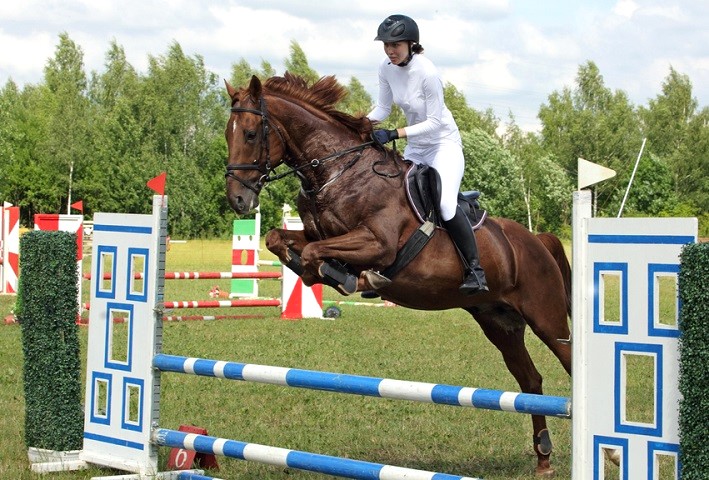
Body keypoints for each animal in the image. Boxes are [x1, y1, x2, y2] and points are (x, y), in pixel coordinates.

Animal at [224, 73, 572, 474]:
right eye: (227, 134)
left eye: (251, 134)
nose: (238, 200)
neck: (336, 173)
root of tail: (537, 240)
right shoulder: (317, 234)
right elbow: (278, 238)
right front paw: (324, 275)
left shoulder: (378, 243)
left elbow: (315, 254)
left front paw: (350, 277)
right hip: (500, 323)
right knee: (530, 380)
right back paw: (543, 456)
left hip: (547, 319)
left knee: (569, 361)